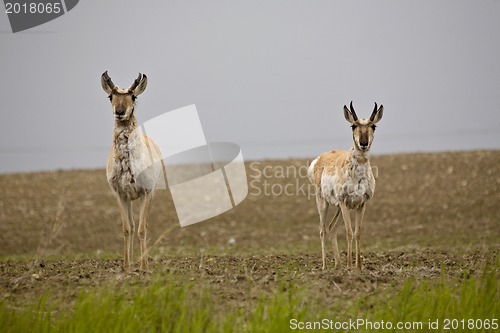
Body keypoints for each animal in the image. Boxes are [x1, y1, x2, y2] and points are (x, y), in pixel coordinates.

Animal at [100, 70, 163, 270]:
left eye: (133, 96)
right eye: (110, 96)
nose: (119, 112)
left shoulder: (145, 193)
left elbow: (142, 229)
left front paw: (144, 267)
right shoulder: (120, 195)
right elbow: (127, 228)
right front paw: (127, 266)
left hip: (150, 196)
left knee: (143, 226)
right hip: (130, 199)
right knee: (133, 226)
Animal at [306, 102, 384, 270]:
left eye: (373, 126)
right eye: (353, 125)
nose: (363, 143)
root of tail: (319, 158)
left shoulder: (361, 204)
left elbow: (358, 232)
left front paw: (358, 267)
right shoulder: (343, 202)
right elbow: (349, 232)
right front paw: (350, 266)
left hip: (340, 209)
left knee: (332, 228)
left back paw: (338, 265)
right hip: (324, 203)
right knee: (323, 230)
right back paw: (325, 267)